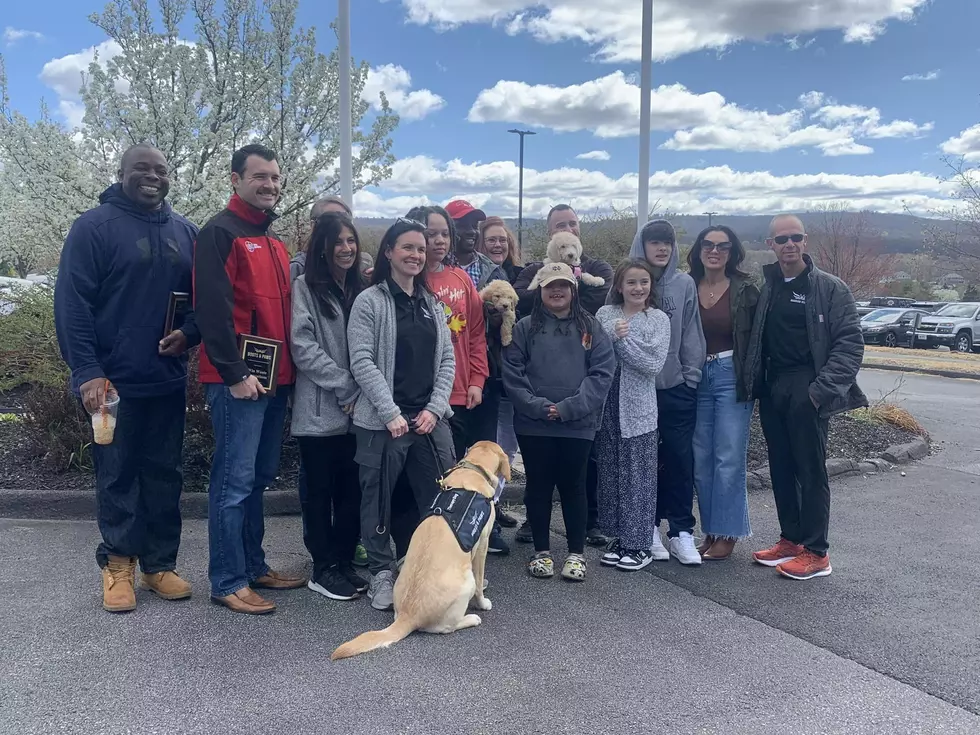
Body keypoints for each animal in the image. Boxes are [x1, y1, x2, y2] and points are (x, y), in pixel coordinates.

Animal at [332, 442, 510, 660]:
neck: (472, 469)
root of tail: (408, 617)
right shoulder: (483, 543)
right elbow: (479, 581)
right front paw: (483, 602)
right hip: (465, 583)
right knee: (446, 627)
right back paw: (472, 618)